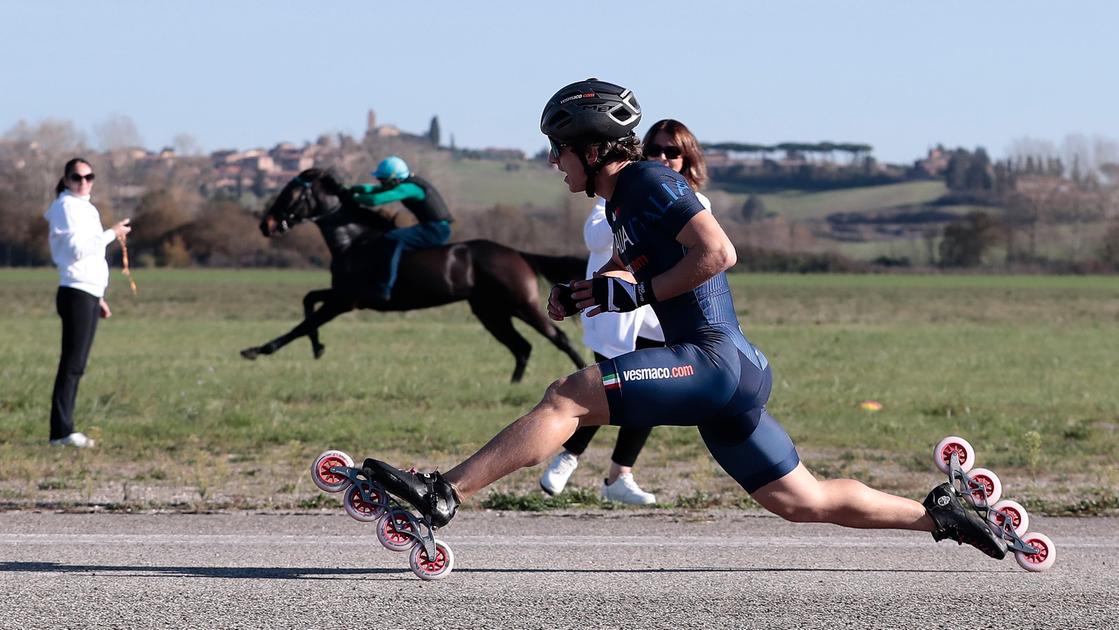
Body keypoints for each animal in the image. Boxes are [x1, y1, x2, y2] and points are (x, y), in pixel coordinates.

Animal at [236, 170, 586, 382]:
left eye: (292, 192)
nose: (265, 225)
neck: (355, 240)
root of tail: (518, 253)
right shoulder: (341, 293)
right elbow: (308, 301)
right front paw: (318, 347)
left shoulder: (347, 300)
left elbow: (301, 324)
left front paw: (256, 350)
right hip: (491, 312)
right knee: (522, 347)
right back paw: (512, 386)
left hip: (521, 304)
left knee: (558, 338)